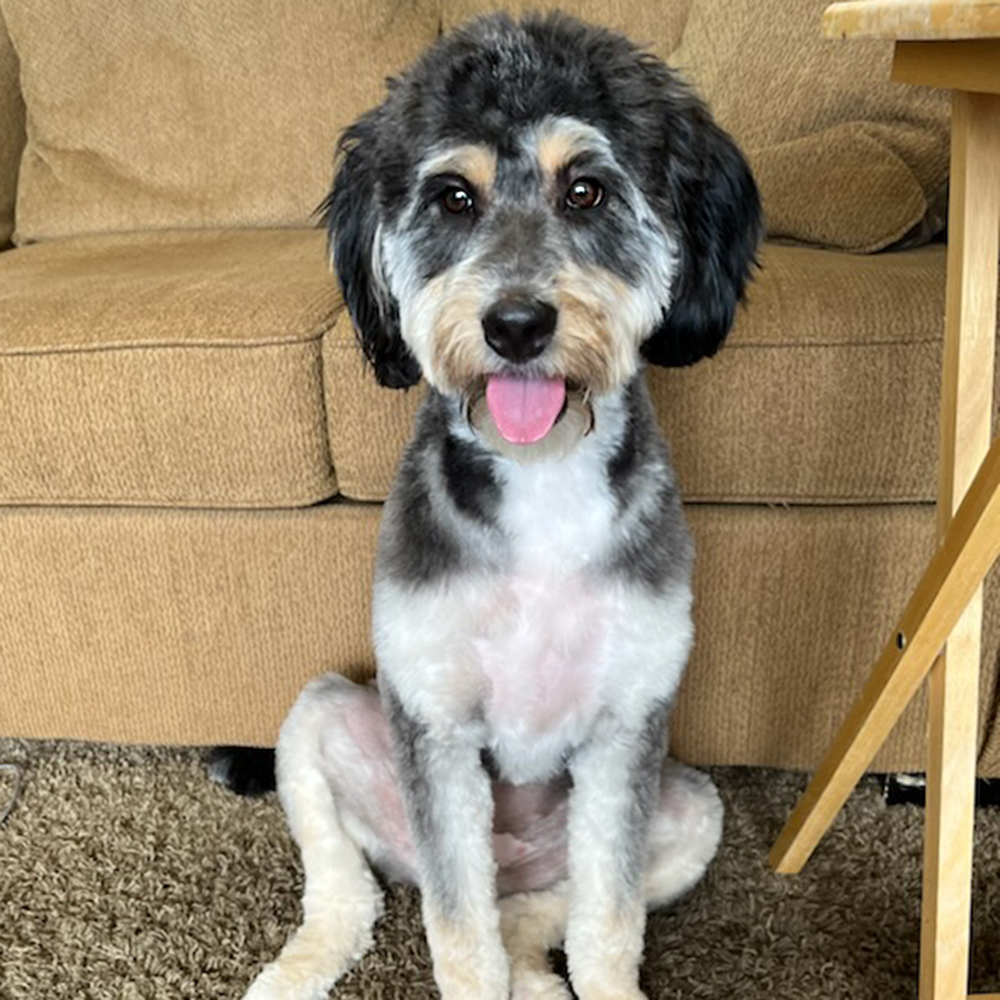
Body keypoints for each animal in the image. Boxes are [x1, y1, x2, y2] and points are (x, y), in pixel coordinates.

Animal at [238, 9, 760, 1000]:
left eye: (586, 191)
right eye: (454, 199)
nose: (516, 325)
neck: (541, 482)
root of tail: (513, 860)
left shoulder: (627, 732)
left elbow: (606, 926)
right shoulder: (435, 726)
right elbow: (459, 936)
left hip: (685, 806)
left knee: (532, 917)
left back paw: (539, 974)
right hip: (328, 716)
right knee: (351, 893)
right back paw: (296, 970)